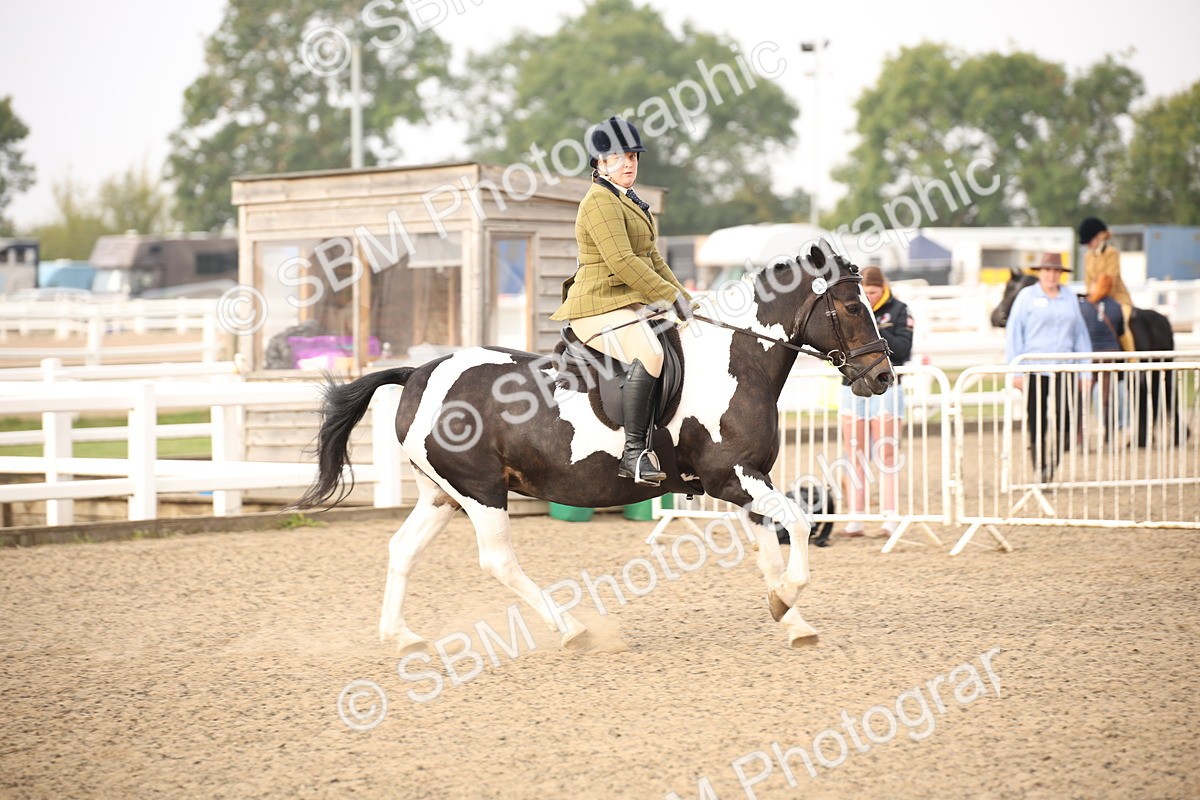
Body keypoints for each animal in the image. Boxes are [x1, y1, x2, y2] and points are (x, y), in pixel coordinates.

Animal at [296, 240, 896, 651]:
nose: (882, 376)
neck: (738, 360)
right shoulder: (734, 478)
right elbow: (799, 522)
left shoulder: (749, 482)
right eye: (850, 309)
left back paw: (401, 637)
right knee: (499, 561)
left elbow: (770, 548)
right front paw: (788, 599)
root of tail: (420, 372)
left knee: (403, 549)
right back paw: (571, 629)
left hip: (442, 493)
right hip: (481, 492)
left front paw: (788, 618)